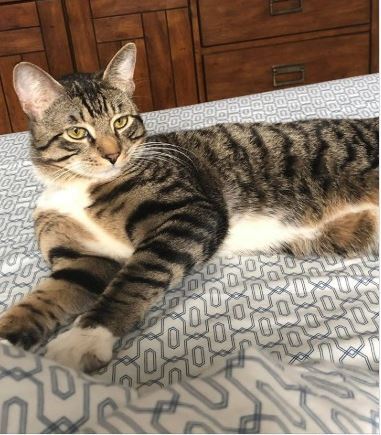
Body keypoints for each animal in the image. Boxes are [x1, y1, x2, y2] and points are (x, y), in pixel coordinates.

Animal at [0, 42, 378, 372]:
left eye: (121, 122)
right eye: (77, 132)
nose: (112, 155)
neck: (74, 186)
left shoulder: (190, 213)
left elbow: (133, 279)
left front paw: (85, 338)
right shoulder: (83, 260)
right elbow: (44, 297)